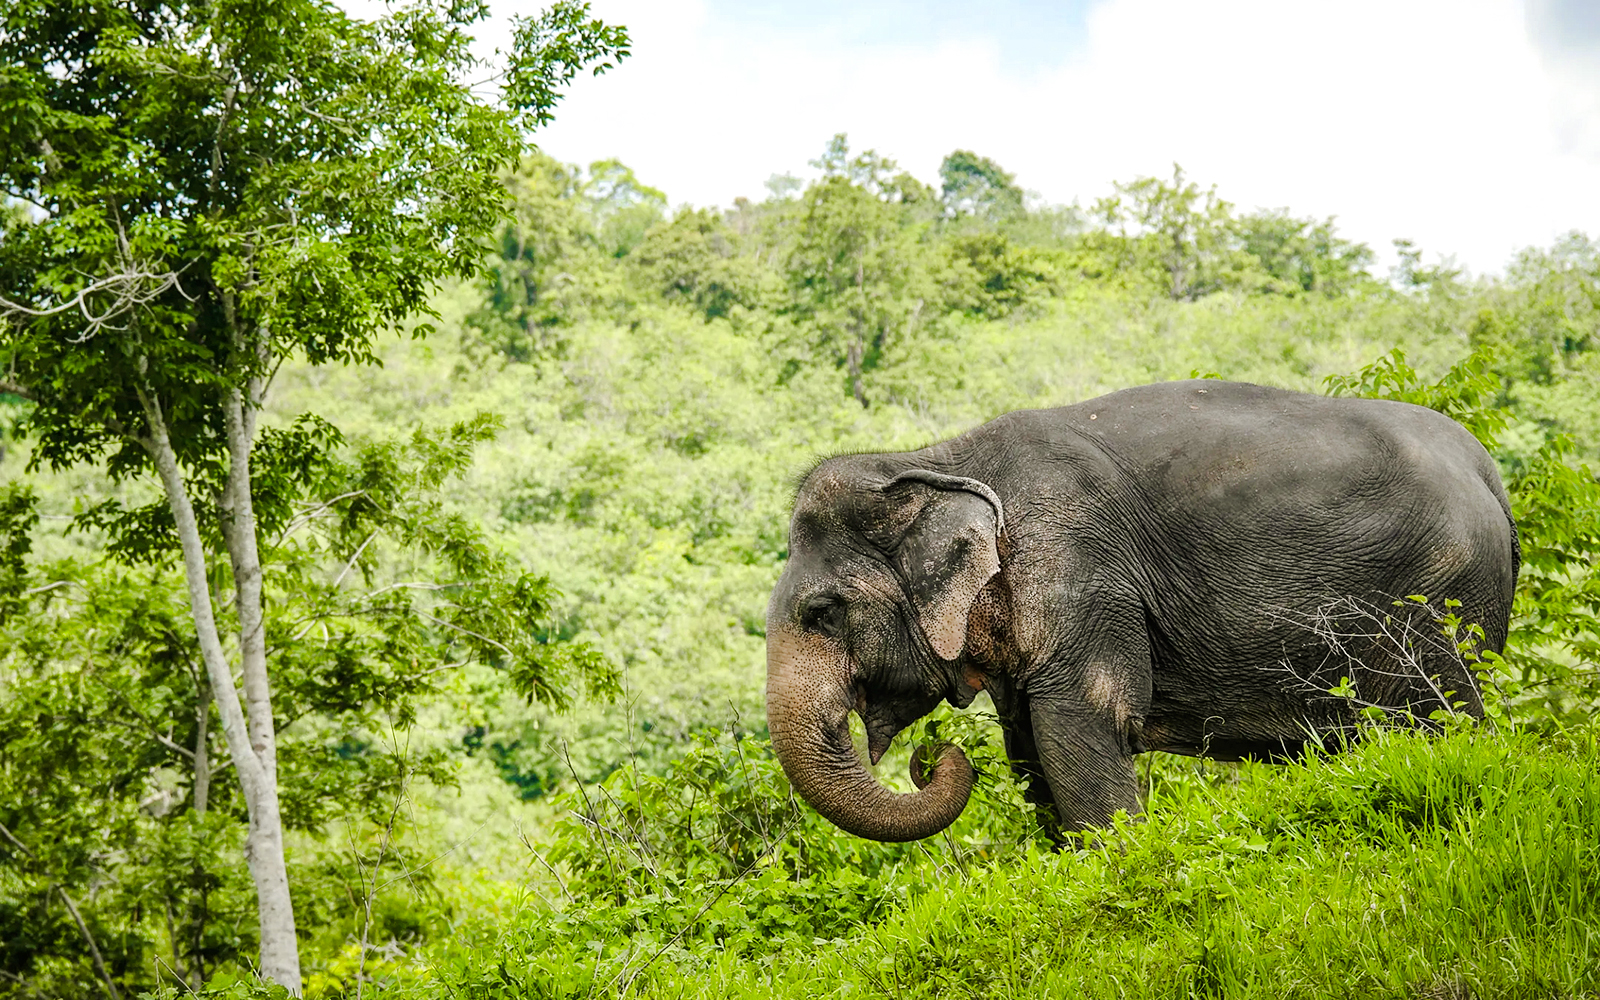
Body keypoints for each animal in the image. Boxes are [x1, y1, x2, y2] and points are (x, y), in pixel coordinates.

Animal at [764, 379, 1519, 842]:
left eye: (823, 612)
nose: (930, 759)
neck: (937, 457)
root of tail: (1488, 470)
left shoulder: (1082, 571)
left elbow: (1082, 727)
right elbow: (1028, 746)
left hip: (1439, 596)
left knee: (1440, 717)